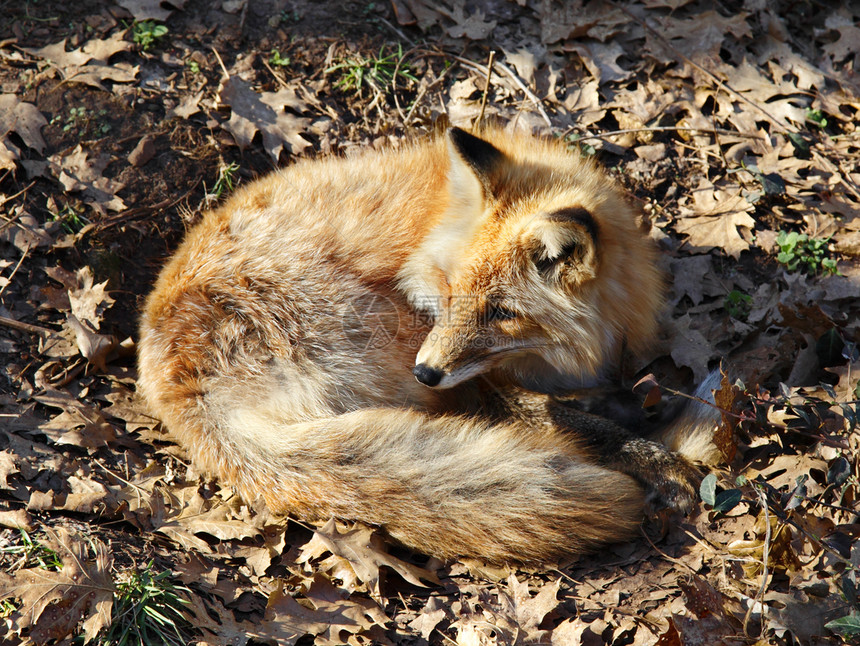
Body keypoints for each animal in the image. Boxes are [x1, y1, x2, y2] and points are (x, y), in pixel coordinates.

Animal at [139, 126, 720, 560]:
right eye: (448, 290)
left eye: (501, 313)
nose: (426, 372)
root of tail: (186, 397)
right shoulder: (461, 365)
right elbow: (569, 419)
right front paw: (654, 456)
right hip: (395, 338)